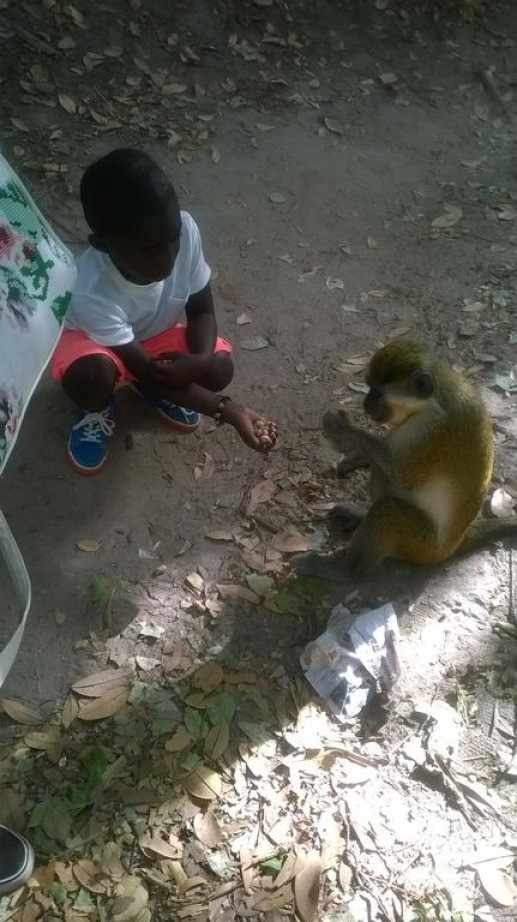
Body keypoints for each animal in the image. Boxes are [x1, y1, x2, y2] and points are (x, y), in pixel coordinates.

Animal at [300, 339, 517, 581]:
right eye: (368, 386)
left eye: (378, 393)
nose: (366, 402)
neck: (432, 400)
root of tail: (453, 545)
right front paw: (354, 459)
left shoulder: (431, 429)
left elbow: (401, 474)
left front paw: (344, 430)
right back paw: (361, 516)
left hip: (421, 545)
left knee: (388, 509)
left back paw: (347, 572)